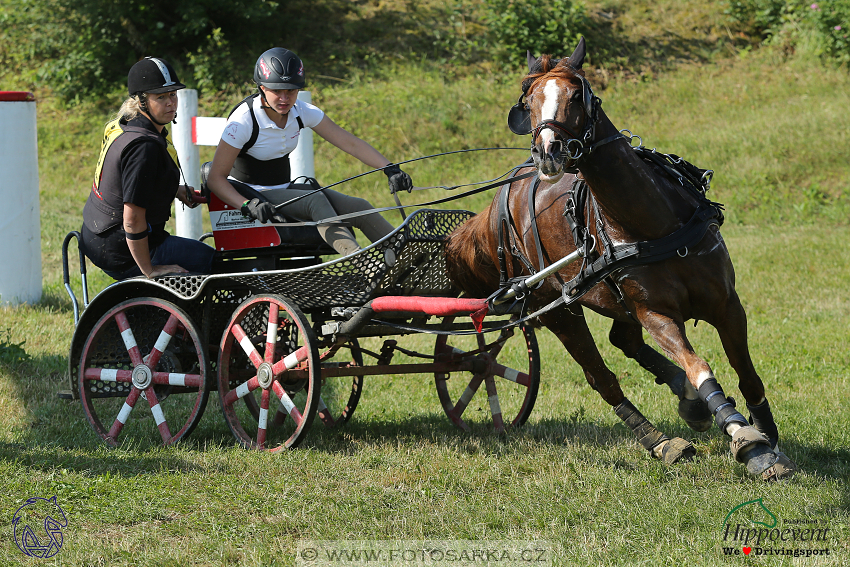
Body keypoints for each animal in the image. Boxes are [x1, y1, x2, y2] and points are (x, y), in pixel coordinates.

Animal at [444, 38, 796, 484]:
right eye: (529, 101)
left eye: (577, 95)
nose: (548, 152)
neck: (653, 222)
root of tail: (499, 203)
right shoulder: (656, 314)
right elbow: (699, 366)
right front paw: (747, 441)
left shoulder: (727, 303)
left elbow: (746, 372)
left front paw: (767, 434)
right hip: (554, 308)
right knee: (602, 376)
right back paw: (660, 441)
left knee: (623, 341)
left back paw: (687, 402)